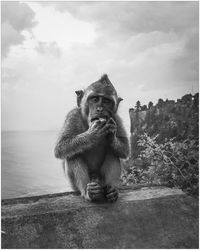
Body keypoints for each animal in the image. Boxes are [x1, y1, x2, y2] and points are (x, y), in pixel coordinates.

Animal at [54, 73, 130, 201]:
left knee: (113, 153)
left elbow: (124, 149)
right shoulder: (72, 115)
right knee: (73, 155)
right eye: (94, 99)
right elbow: (61, 147)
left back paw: (111, 191)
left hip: (101, 180)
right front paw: (93, 133)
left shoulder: (116, 118)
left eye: (106, 101)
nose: (100, 109)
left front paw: (111, 135)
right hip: (76, 185)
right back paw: (90, 193)